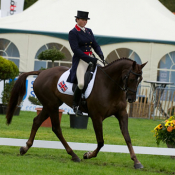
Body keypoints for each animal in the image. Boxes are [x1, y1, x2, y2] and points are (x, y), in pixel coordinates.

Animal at [5, 58, 147, 169]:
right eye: (132, 78)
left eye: (140, 79)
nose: (131, 99)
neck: (110, 85)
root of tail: (42, 72)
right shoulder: (96, 116)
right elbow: (101, 141)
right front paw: (88, 155)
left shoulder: (122, 114)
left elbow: (127, 137)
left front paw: (136, 161)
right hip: (52, 105)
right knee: (56, 128)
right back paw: (74, 155)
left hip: (49, 105)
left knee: (37, 122)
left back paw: (25, 148)